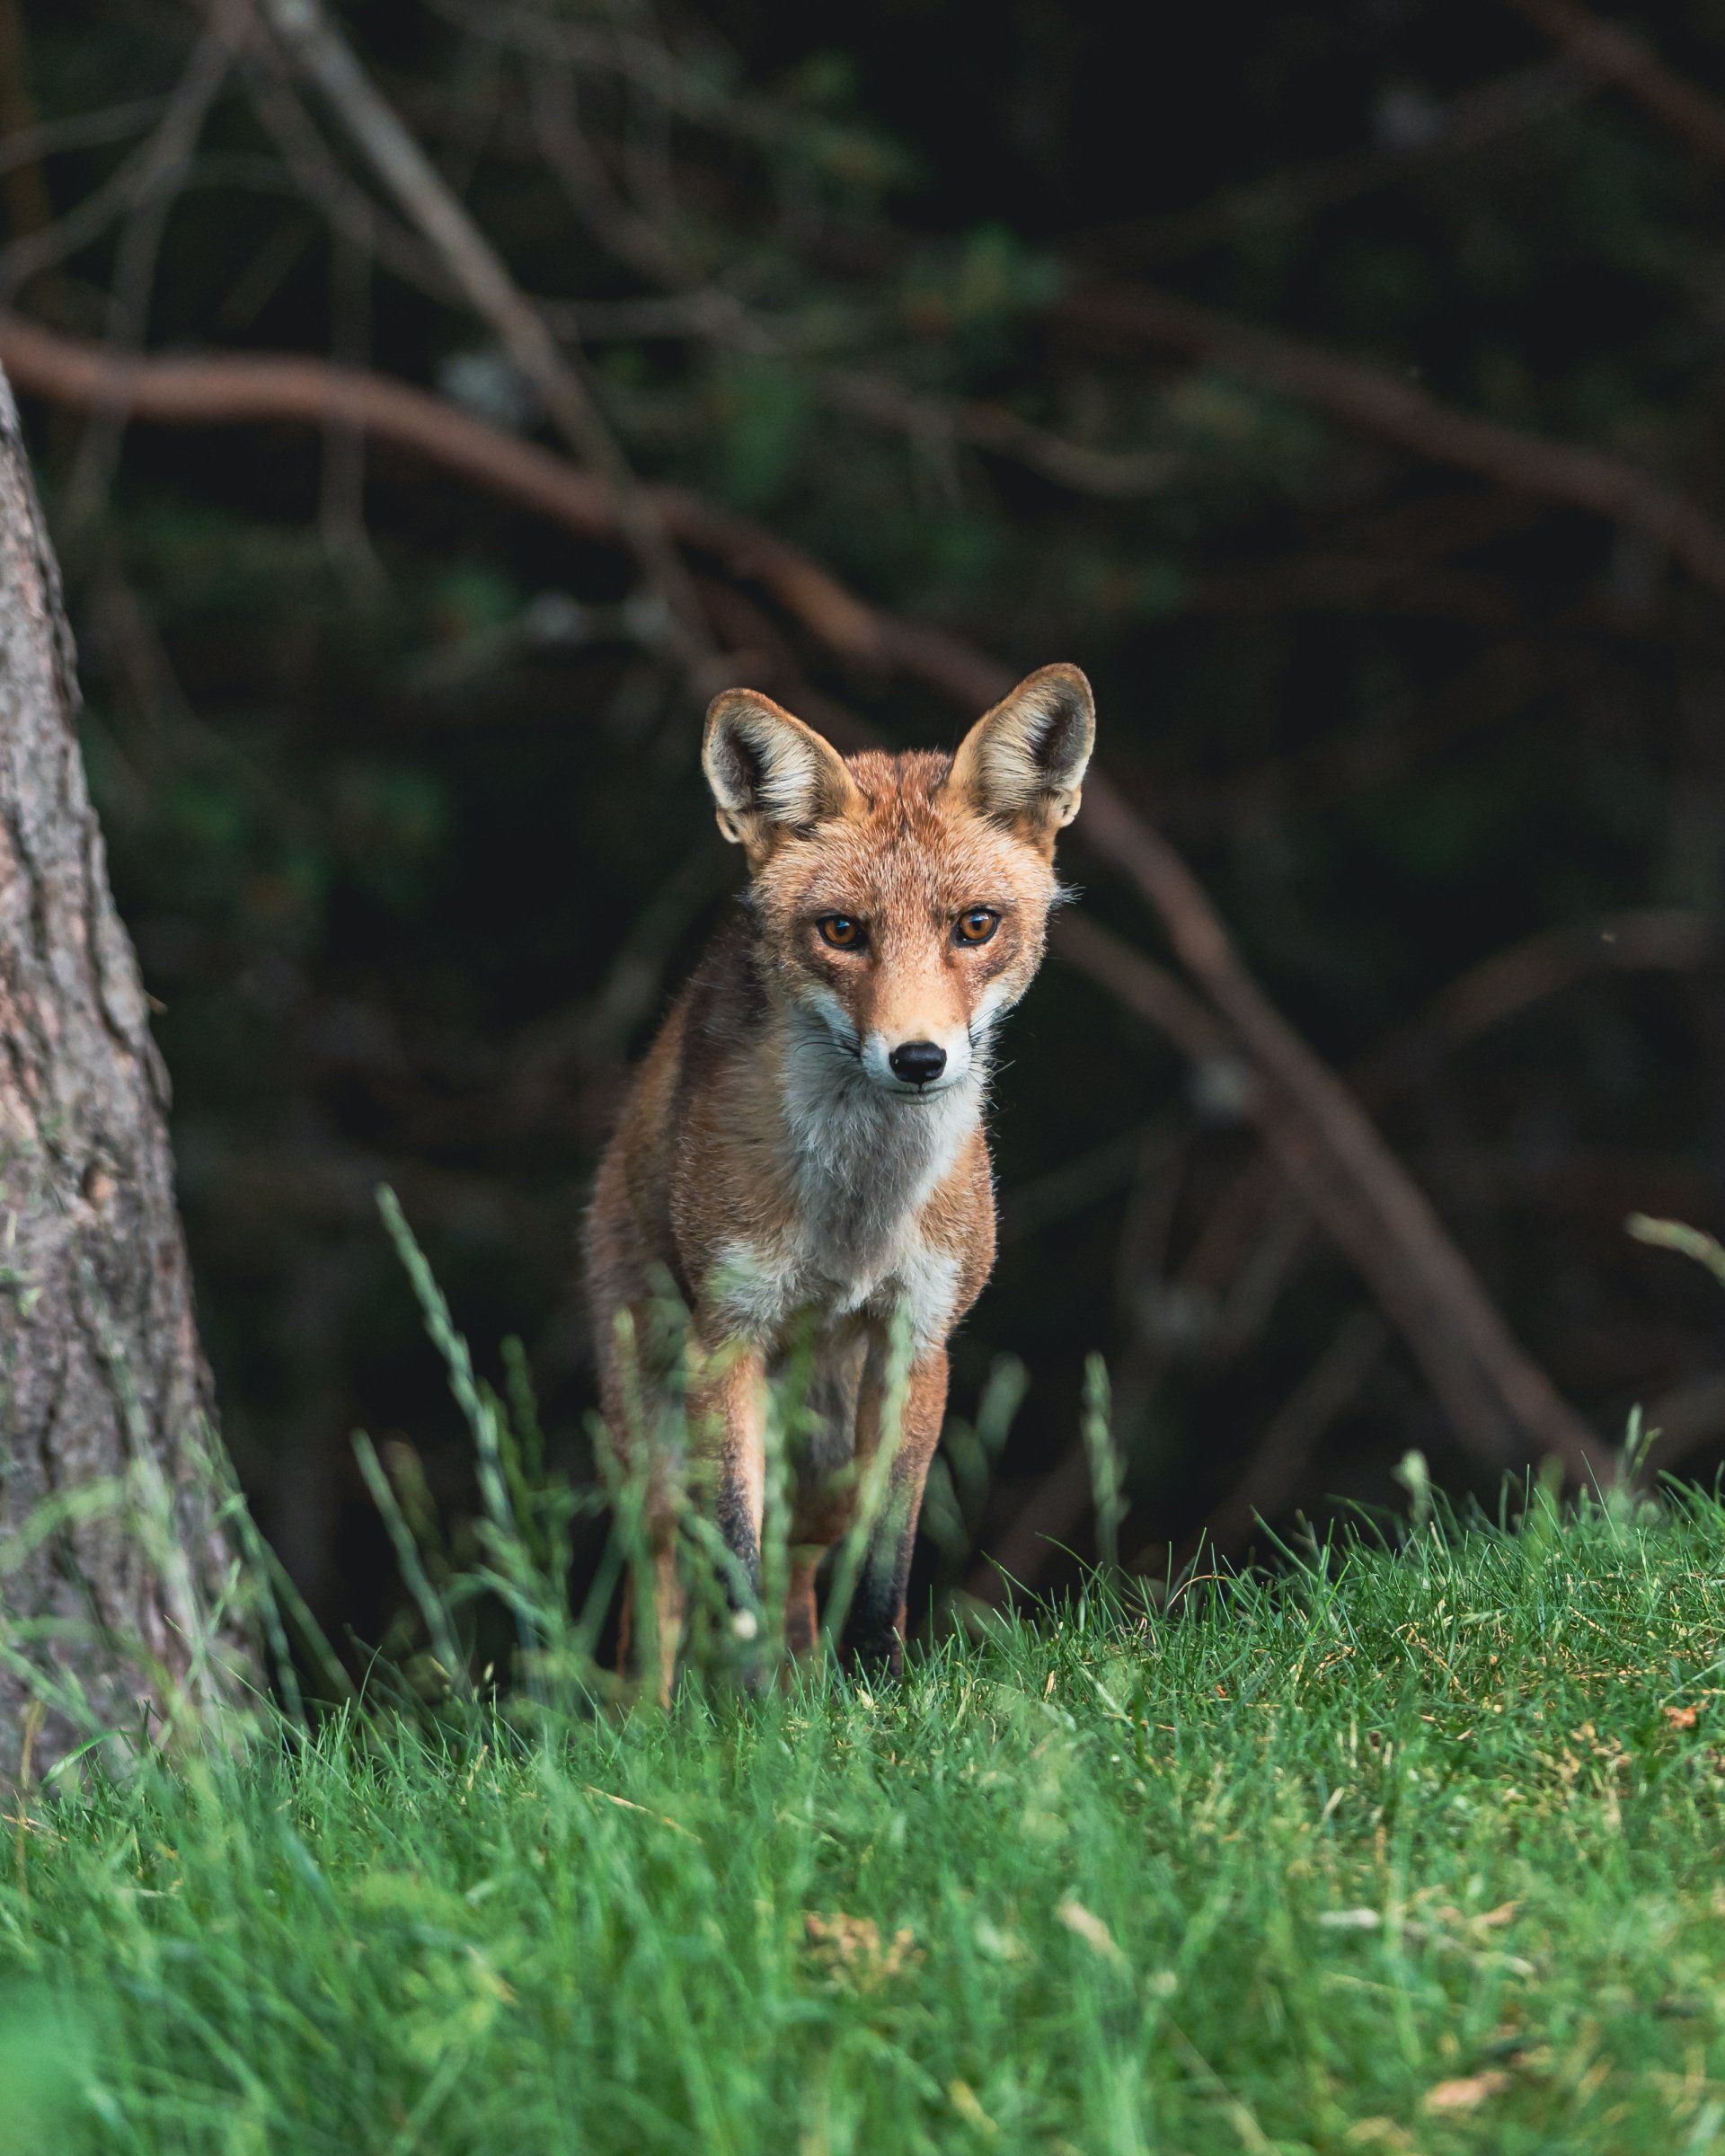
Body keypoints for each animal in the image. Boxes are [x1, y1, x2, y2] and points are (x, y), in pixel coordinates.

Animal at [578, 664, 1091, 1690]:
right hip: (657, 1444)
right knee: (662, 1591)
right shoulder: (728, 1335)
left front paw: (881, 1690)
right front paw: (745, 1714)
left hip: (821, 1454)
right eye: (842, 931)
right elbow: (735, 1566)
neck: (858, 1217)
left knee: (809, 1565)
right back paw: (658, 1715)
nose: (919, 1059)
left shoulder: (917, 1340)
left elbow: (883, 1557)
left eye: (976, 926)